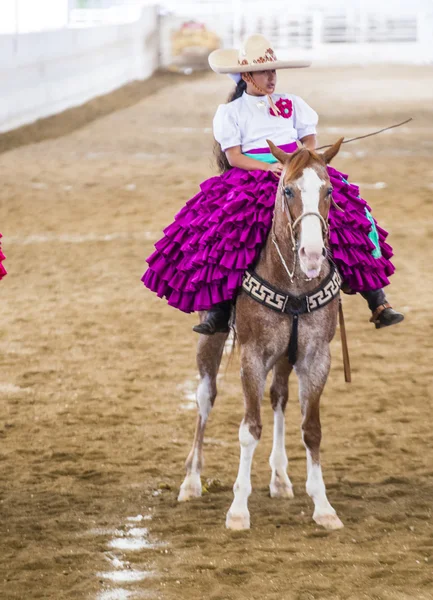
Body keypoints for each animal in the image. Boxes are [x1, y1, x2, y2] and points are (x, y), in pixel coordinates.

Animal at [176, 138, 344, 532]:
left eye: (329, 190)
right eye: (288, 190)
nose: (312, 253)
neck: (294, 285)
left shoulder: (316, 357)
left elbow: (311, 428)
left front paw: (323, 506)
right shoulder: (252, 357)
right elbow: (249, 429)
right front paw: (238, 510)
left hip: (285, 356)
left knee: (279, 397)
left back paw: (280, 479)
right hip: (211, 343)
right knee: (205, 397)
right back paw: (191, 481)